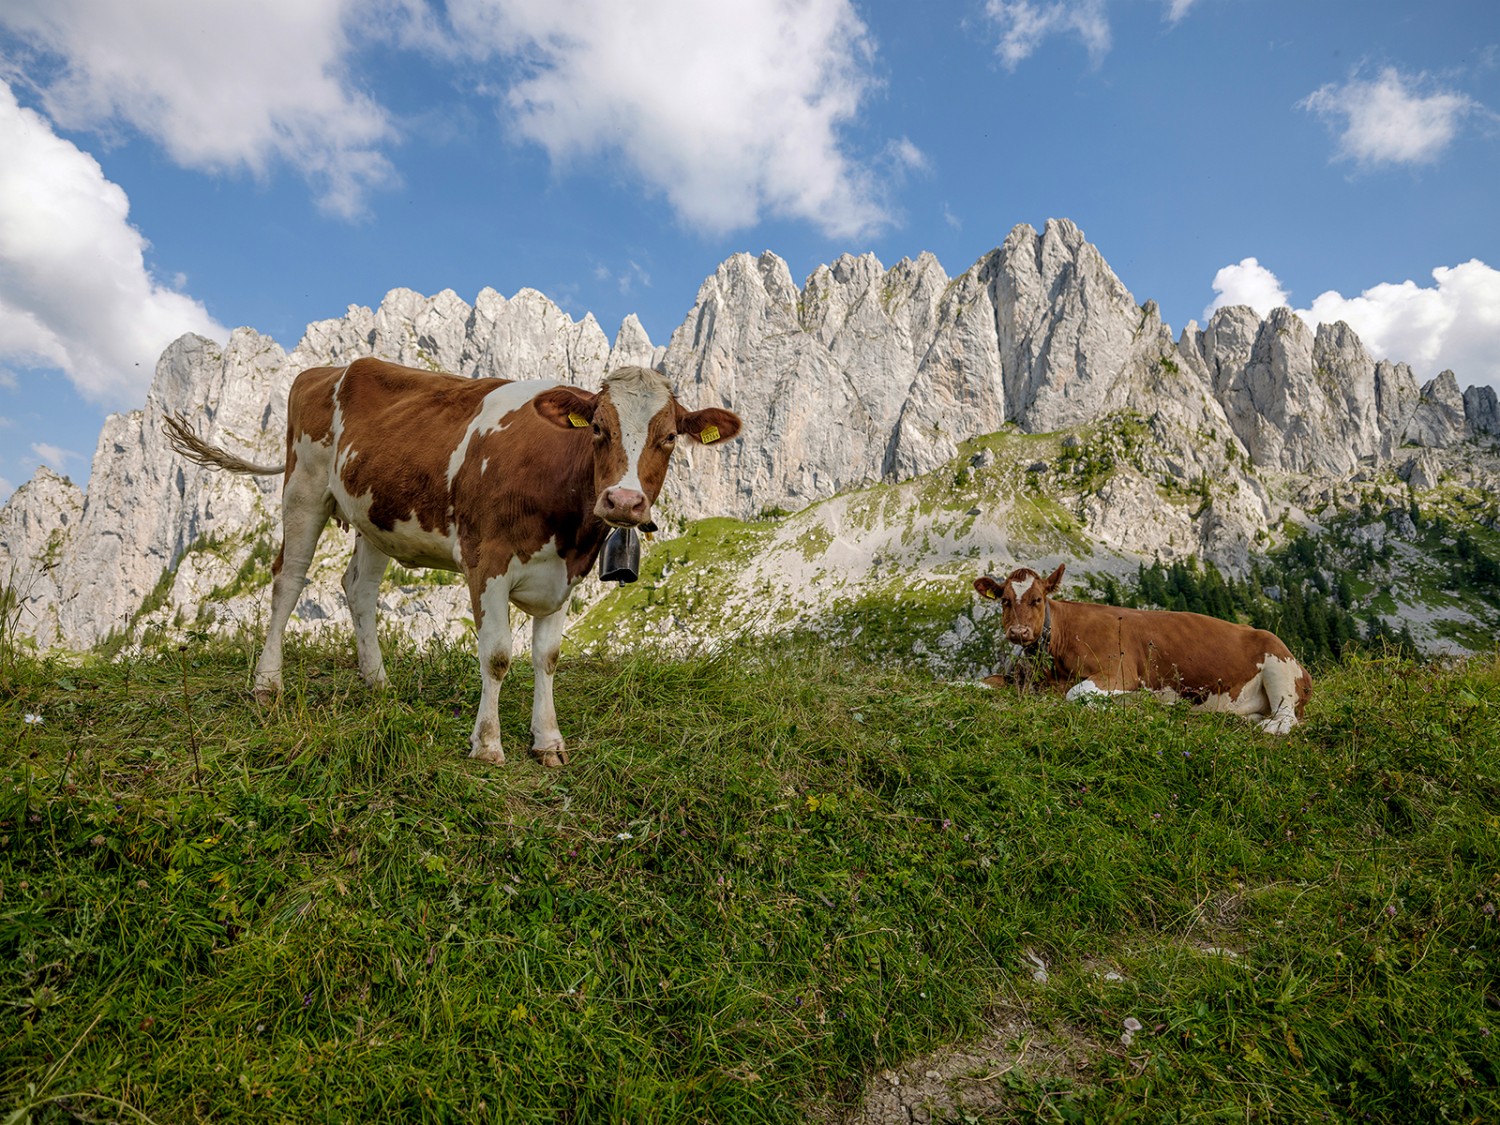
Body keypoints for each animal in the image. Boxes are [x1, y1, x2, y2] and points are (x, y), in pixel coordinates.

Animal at [165, 358, 744, 768]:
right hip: (304, 488)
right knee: (287, 581)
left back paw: (378, 683)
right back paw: (267, 685)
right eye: (598, 428)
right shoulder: (486, 561)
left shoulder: (566, 575)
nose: (623, 502)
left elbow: (548, 657)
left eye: (668, 437)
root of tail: (326, 369)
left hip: (375, 514)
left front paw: (548, 741)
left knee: (358, 589)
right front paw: (487, 744)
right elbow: (498, 656)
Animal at [972, 564, 1314, 741]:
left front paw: (1136, 706)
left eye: (1038, 599)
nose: (1019, 633)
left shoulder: (1118, 672)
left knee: (1286, 718)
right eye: (1004, 600)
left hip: (1277, 662)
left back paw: (1270, 726)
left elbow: (1075, 695)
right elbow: (986, 682)